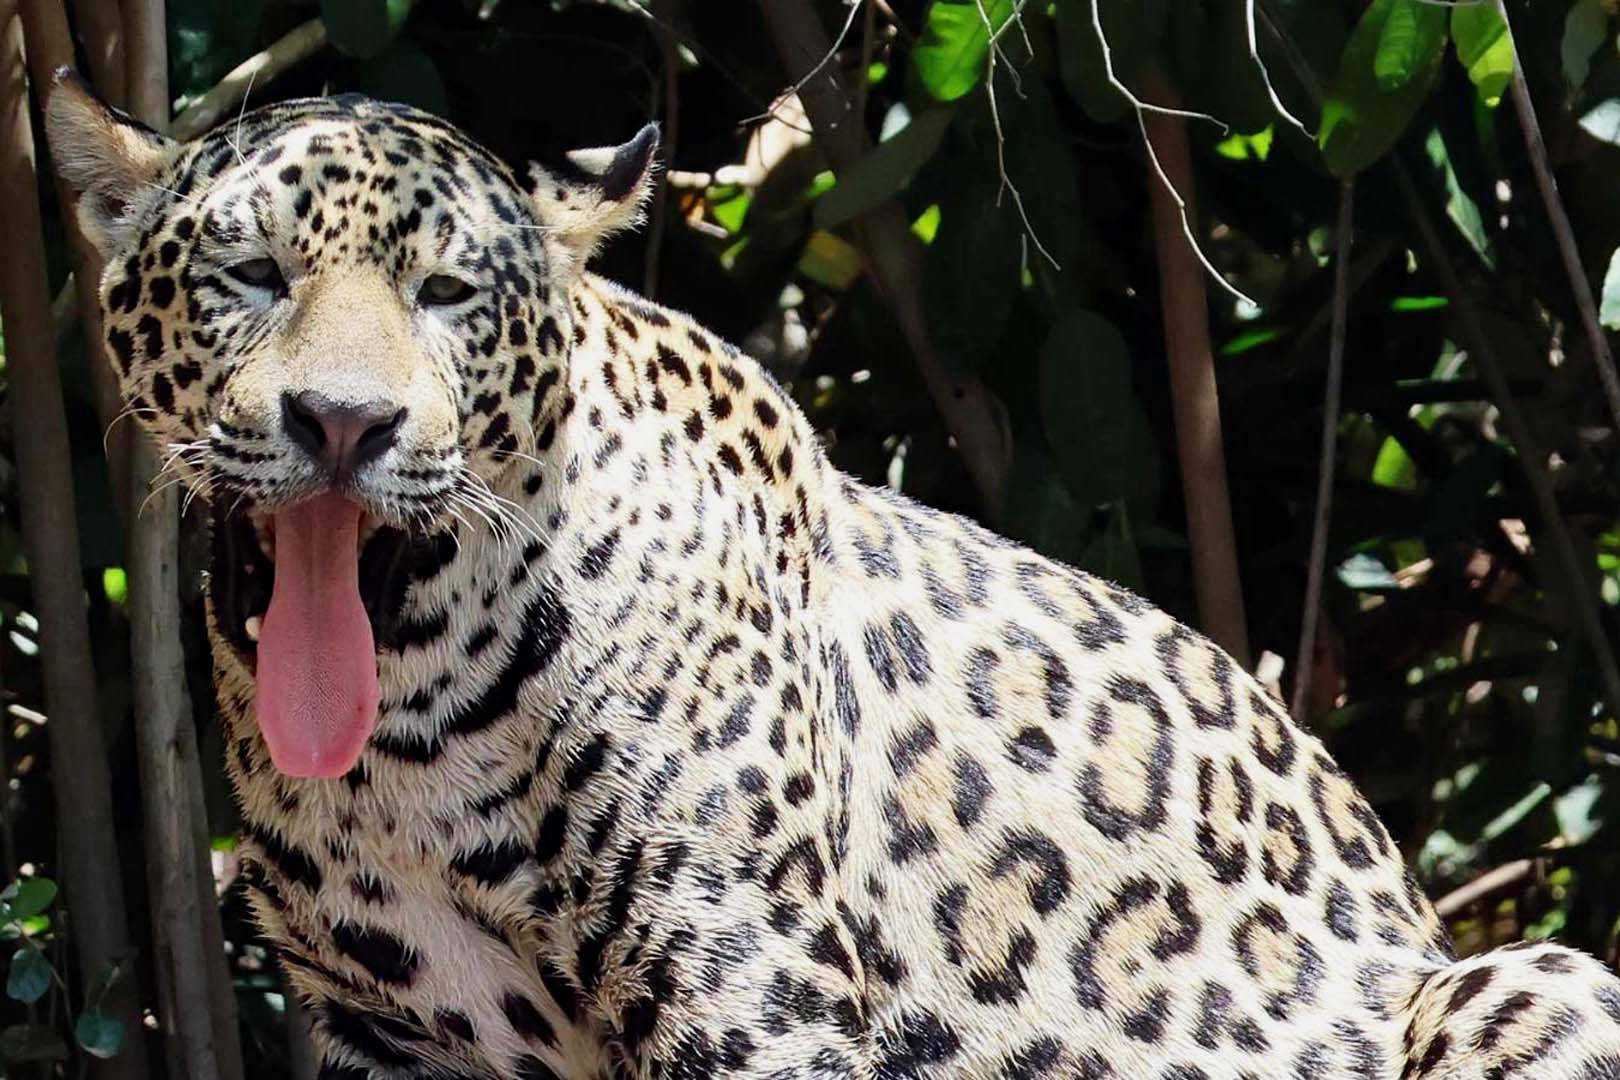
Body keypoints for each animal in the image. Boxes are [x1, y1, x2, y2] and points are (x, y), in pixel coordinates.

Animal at [45, 68, 1620, 1080]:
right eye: (251, 276)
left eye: (444, 295)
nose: (344, 424)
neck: (407, 739)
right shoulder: (385, 1034)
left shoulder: (750, 996)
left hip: (1537, 975)